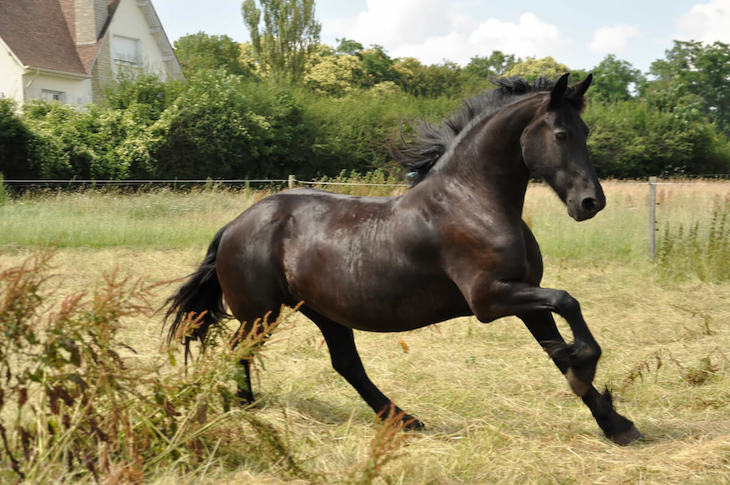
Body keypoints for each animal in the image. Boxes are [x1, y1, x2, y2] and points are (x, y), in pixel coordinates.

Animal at [164, 73, 643, 445]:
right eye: (561, 134)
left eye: (585, 132)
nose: (590, 202)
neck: (473, 200)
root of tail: (236, 224)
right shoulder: (490, 299)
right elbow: (568, 303)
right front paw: (585, 373)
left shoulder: (526, 299)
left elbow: (558, 347)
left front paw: (616, 423)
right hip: (261, 313)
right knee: (239, 350)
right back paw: (245, 407)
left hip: (323, 312)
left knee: (346, 364)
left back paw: (403, 419)